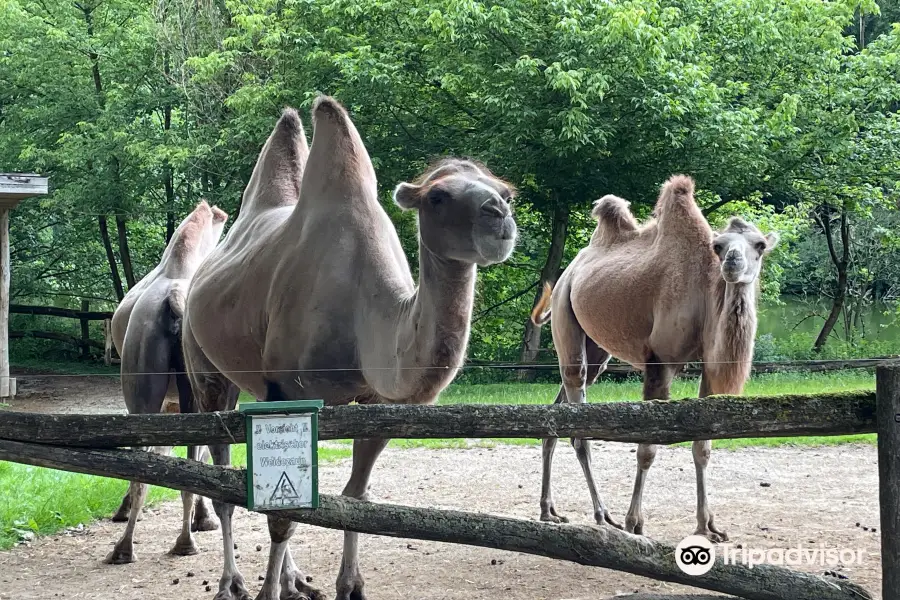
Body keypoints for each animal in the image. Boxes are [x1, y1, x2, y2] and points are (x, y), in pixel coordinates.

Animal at [104, 202, 229, 564]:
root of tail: (174, 299)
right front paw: (204, 519)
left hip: (142, 390)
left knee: (143, 462)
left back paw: (125, 546)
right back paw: (183, 541)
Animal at [181, 97, 520, 600]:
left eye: (506, 191)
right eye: (437, 196)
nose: (499, 215)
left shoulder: (377, 403)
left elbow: (355, 498)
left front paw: (349, 585)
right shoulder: (289, 391)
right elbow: (284, 512)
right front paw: (268, 592)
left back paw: (295, 579)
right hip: (206, 367)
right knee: (222, 476)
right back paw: (232, 582)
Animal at [532, 175, 776, 544]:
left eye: (759, 244)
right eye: (719, 246)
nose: (732, 263)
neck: (705, 295)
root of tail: (569, 272)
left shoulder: (709, 367)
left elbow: (703, 446)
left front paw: (708, 527)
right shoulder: (659, 362)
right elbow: (648, 447)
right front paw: (635, 523)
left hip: (596, 350)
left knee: (558, 413)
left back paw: (549, 510)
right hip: (564, 315)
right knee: (579, 424)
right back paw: (603, 515)